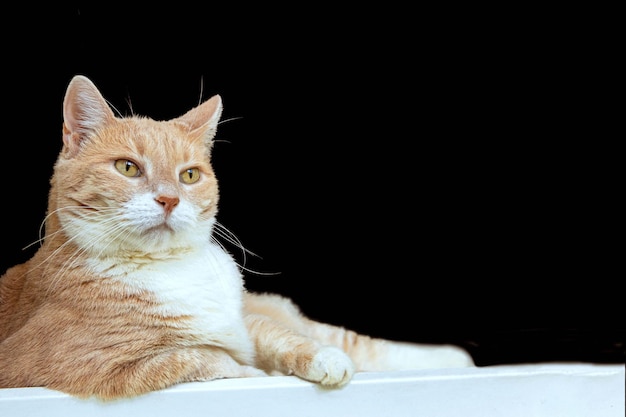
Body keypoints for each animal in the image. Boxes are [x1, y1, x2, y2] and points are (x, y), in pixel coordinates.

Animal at [0, 75, 470, 400]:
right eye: (128, 168)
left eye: (190, 175)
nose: (169, 199)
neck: (172, 269)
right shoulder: (91, 368)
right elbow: (209, 359)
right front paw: (264, 373)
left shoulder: (245, 319)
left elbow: (278, 336)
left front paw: (322, 359)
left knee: (350, 339)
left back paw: (455, 359)